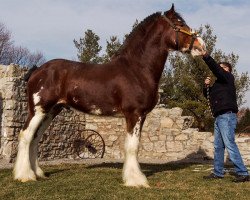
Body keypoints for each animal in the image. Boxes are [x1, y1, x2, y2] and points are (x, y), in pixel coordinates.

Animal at [13, 4, 205, 188]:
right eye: (180, 24)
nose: (201, 46)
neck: (136, 70)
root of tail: (37, 70)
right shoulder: (134, 114)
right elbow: (132, 147)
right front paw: (136, 180)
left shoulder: (140, 116)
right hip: (39, 109)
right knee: (26, 136)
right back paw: (25, 176)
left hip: (51, 111)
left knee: (35, 138)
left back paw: (38, 173)